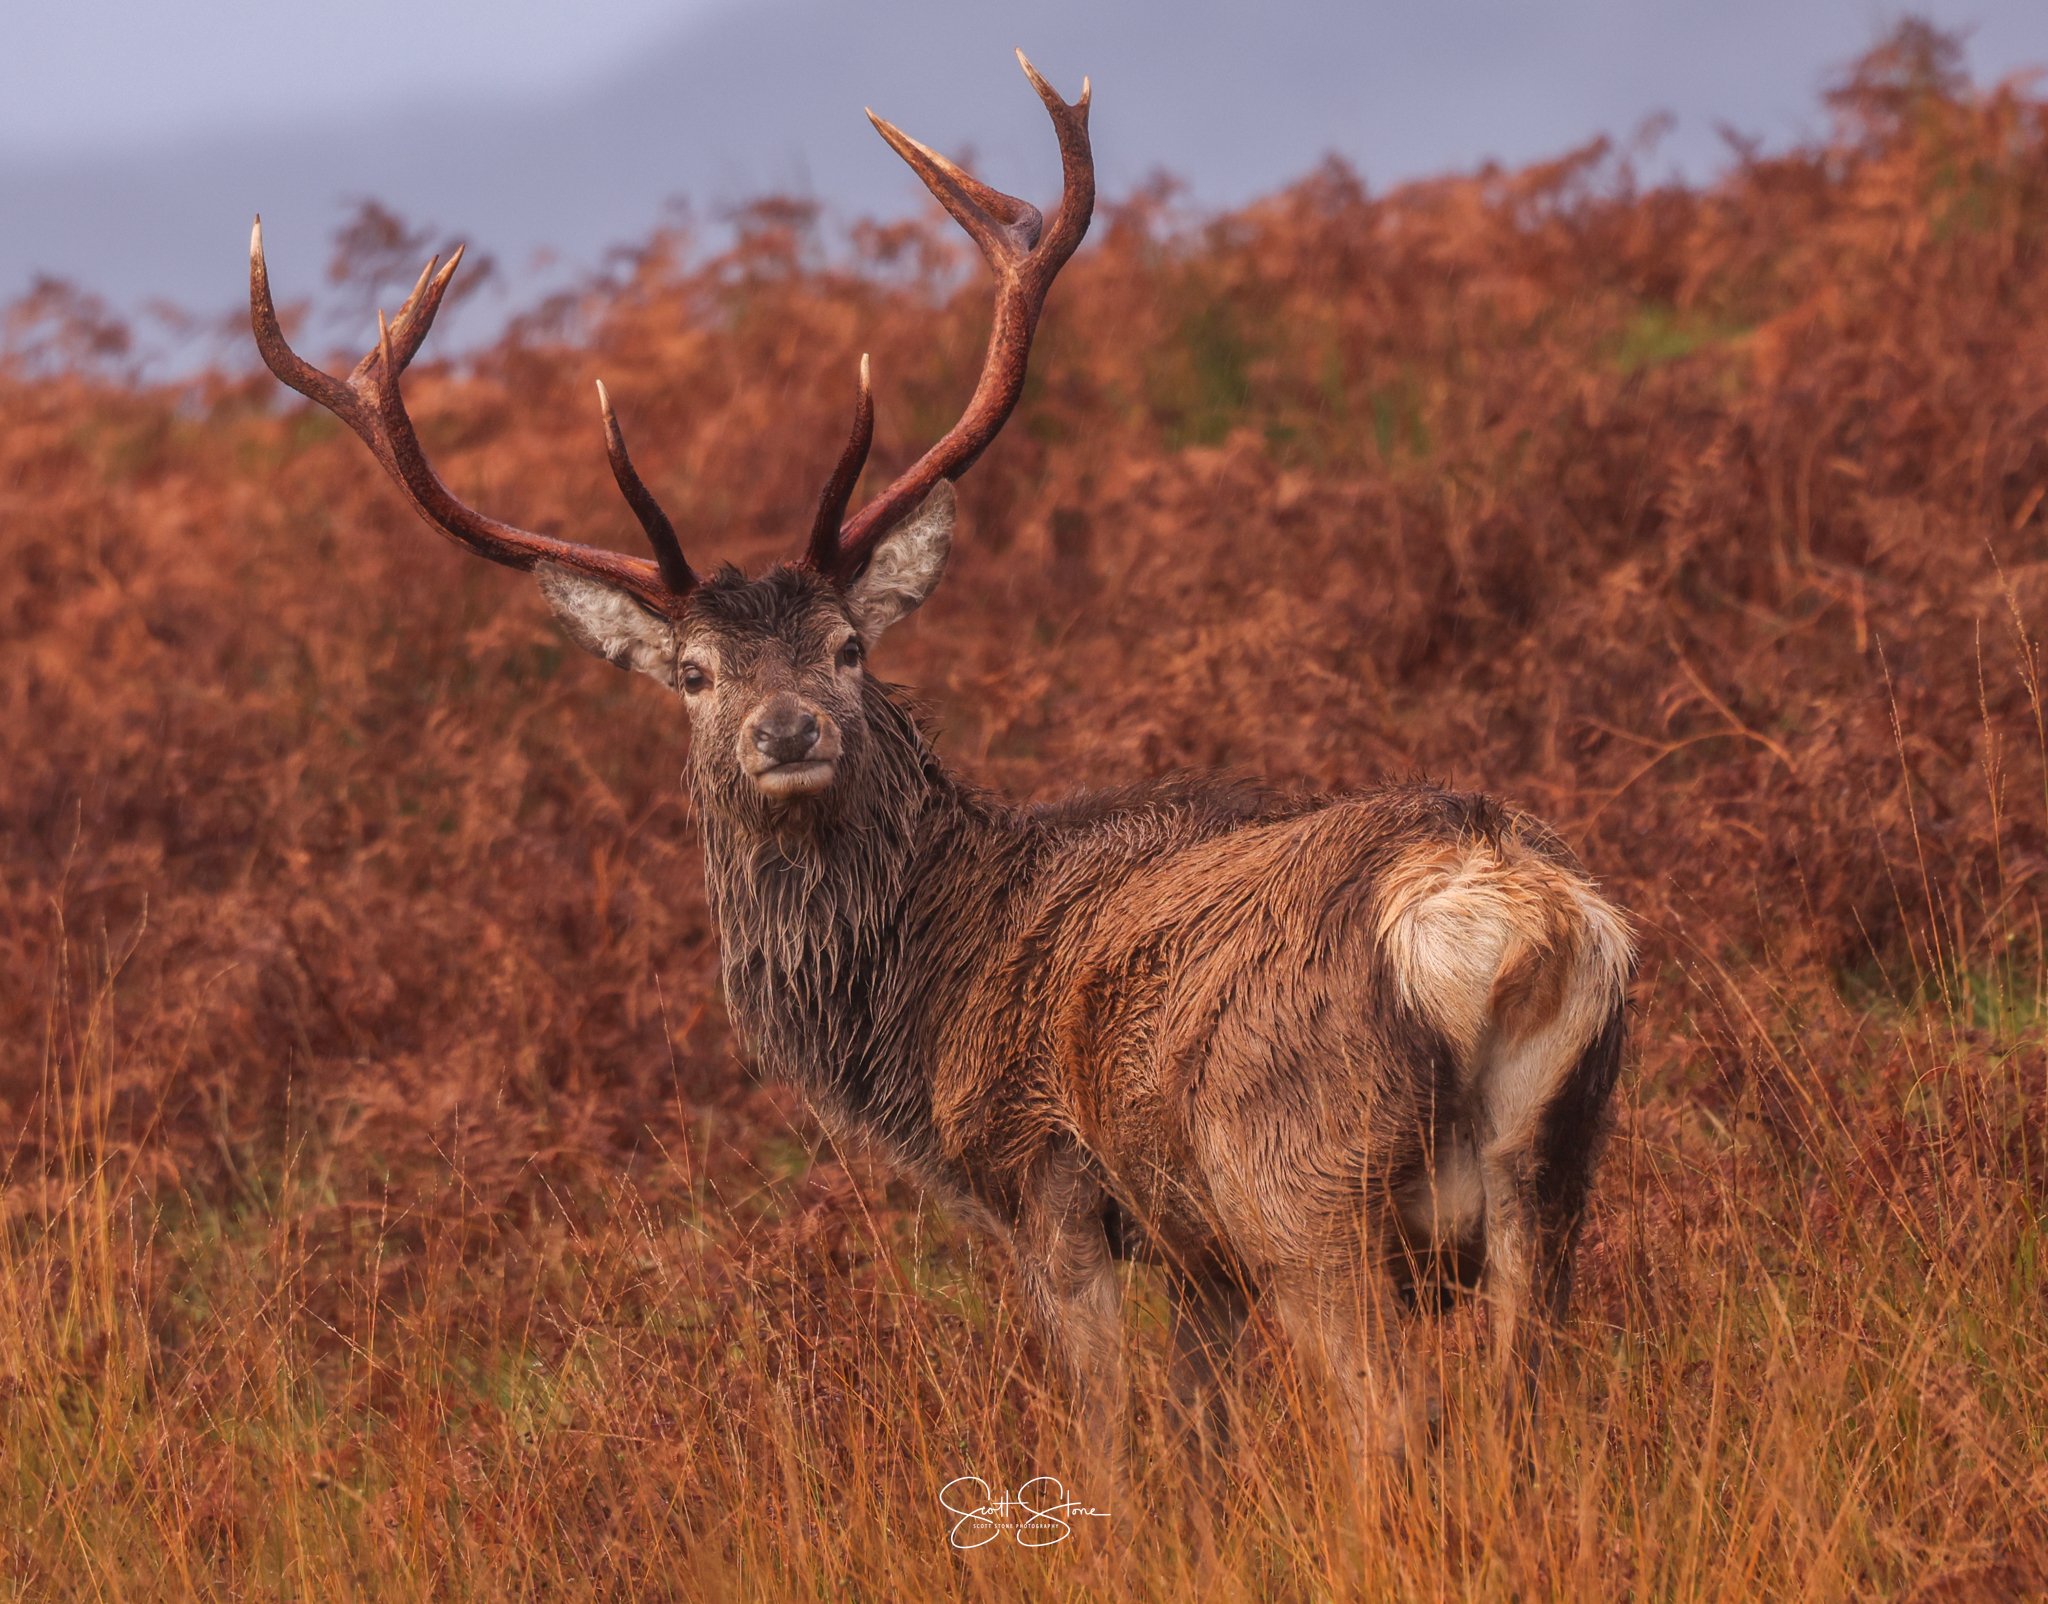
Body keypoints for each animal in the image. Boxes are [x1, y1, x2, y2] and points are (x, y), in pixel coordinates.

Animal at [248, 53, 1633, 1486]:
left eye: (849, 645)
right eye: (692, 674)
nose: (786, 729)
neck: (916, 1009)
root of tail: (1494, 918)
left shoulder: (1047, 1173)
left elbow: (1111, 1434)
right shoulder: (1186, 1243)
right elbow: (1197, 1430)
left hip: (1299, 1179)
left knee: (1394, 1418)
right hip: (1556, 1162)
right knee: (1528, 1393)